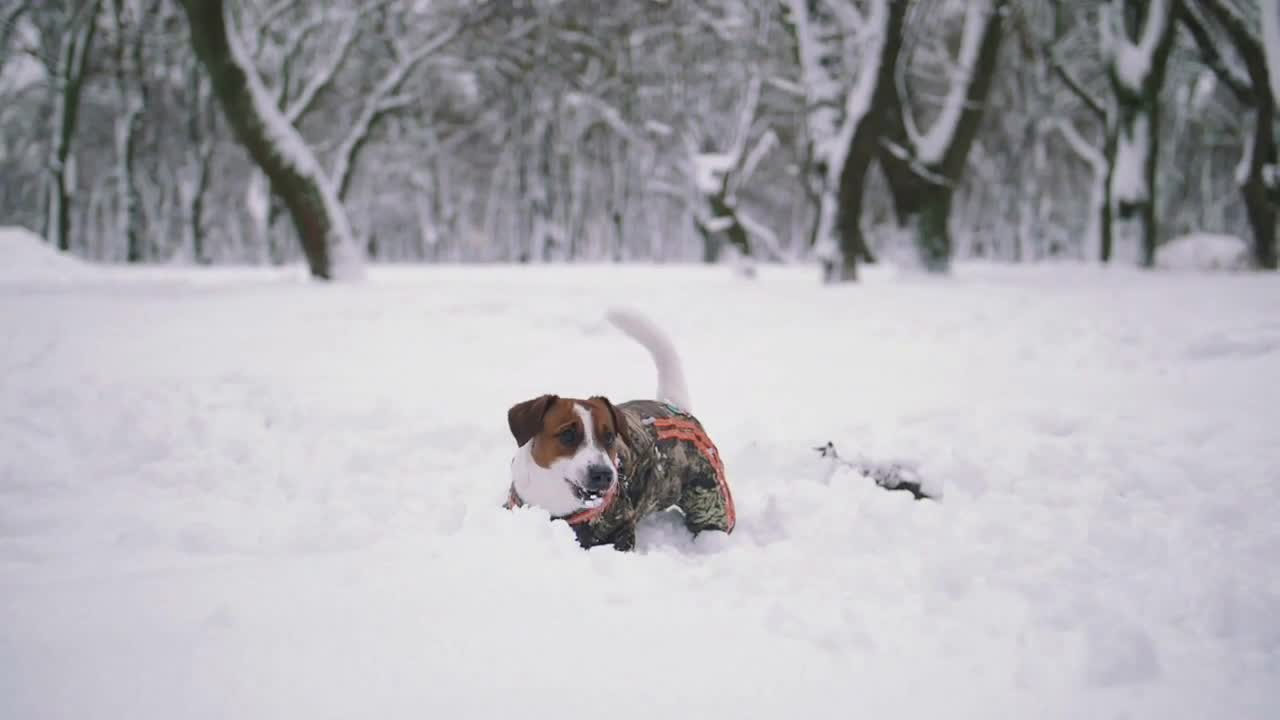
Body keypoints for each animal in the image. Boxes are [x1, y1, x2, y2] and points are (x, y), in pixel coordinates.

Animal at [504, 307, 737, 548]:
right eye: (568, 434)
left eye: (609, 437)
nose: (604, 474)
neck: (554, 499)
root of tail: (674, 405)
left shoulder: (619, 529)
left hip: (707, 489)